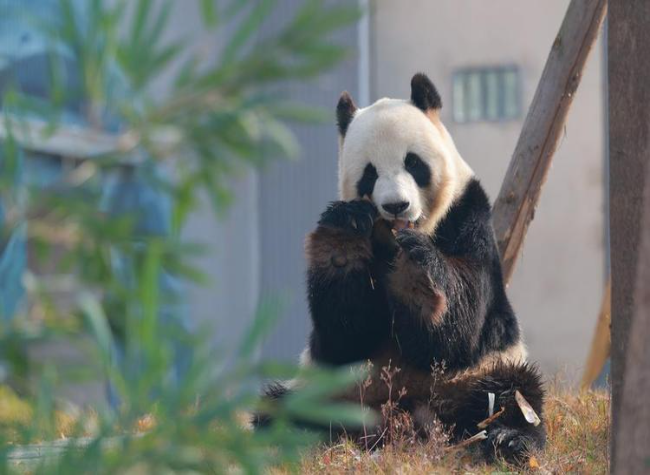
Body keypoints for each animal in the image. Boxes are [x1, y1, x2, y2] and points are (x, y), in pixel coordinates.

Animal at [257, 73, 546, 463]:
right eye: (369, 174)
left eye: (413, 163)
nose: (396, 205)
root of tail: (403, 418)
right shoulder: (337, 350)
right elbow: (343, 335)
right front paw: (342, 243)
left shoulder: (469, 217)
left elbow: (463, 325)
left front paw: (417, 277)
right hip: (328, 388)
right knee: (281, 409)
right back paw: (290, 437)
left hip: (479, 373)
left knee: (511, 395)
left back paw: (508, 440)